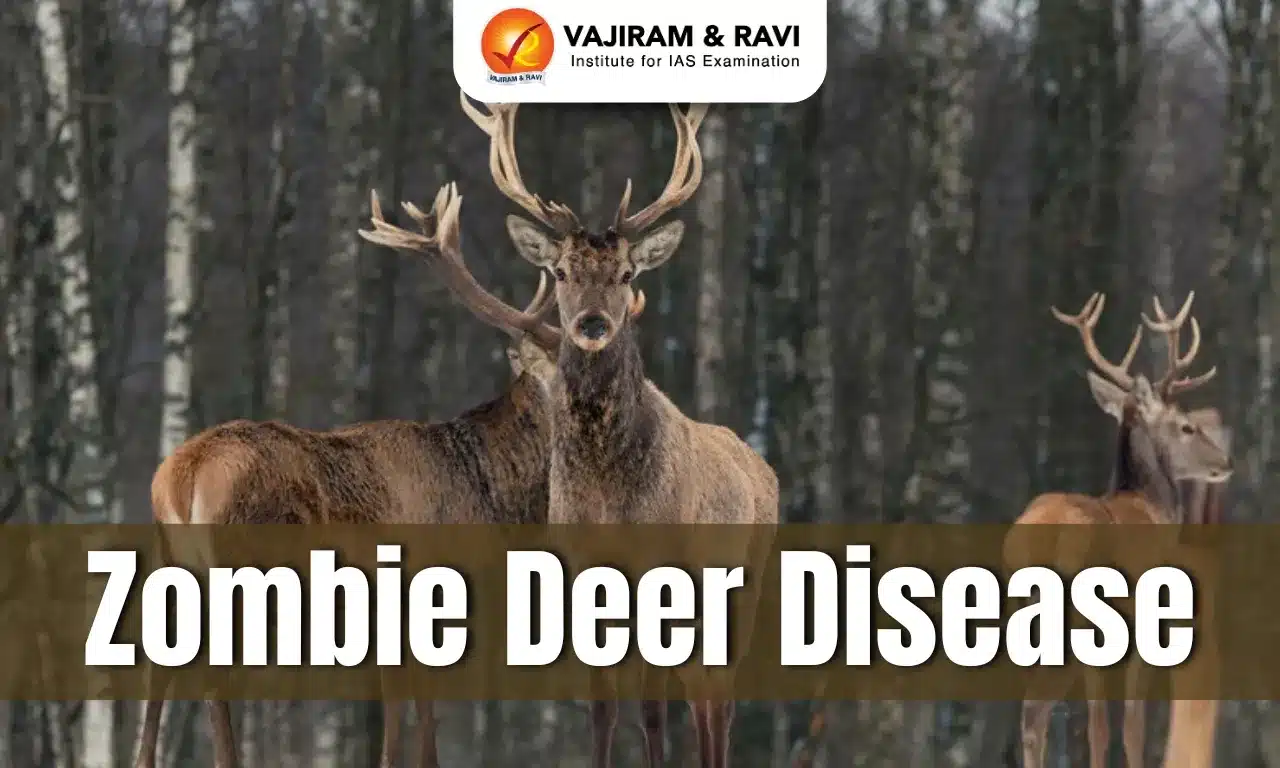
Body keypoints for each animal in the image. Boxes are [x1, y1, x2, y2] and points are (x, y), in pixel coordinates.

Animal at [133, 185, 565, 768]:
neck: (489, 495)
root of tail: (183, 474)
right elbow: (415, 708)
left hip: (169, 558)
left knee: (158, 667)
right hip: (239, 560)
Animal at [452, 90, 780, 768]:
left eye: (628, 274)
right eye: (563, 271)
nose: (595, 324)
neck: (606, 495)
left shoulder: (663, 570)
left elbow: (652, 709)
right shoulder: (580, 575)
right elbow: (602, 706)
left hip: (746, 580)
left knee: (718, 701)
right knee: (702, 697)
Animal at [1005, 290, 1232, 768]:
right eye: (1186, 426)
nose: (1225, 462)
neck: (1148, 504)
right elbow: (1129, 723)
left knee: (1031, 711)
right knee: (1059, 711)